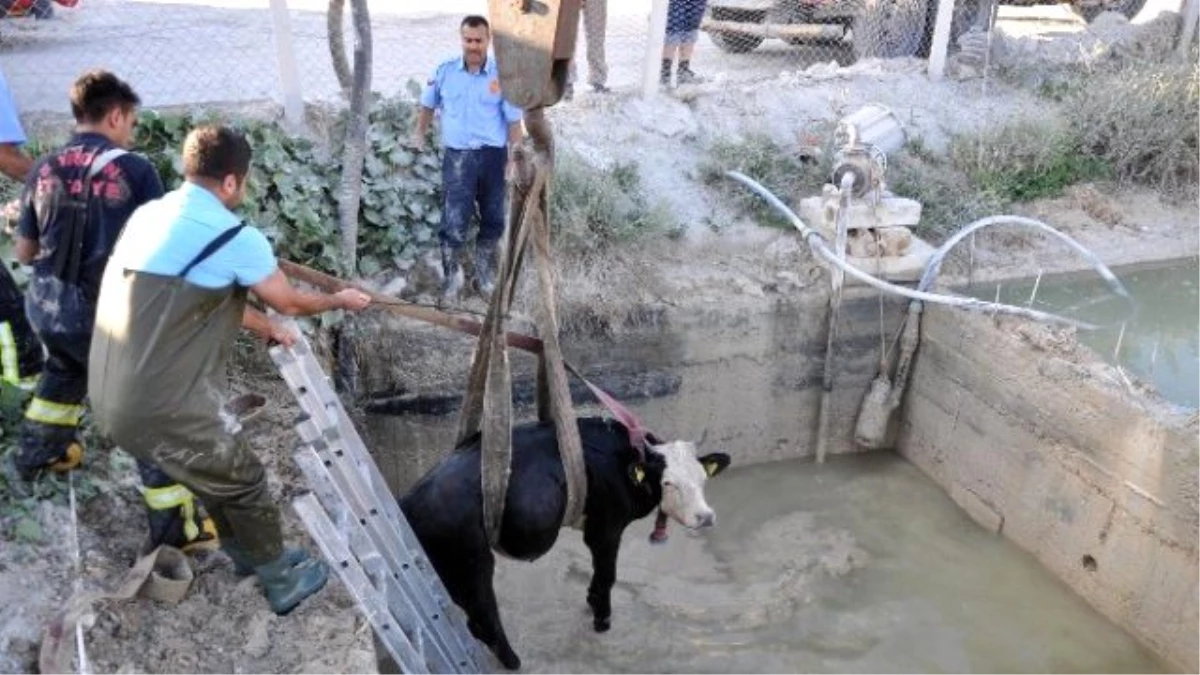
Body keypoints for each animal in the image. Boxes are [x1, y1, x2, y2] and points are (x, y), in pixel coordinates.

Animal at [398, 415, 729, 667]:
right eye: (668, 482)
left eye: (702, 478)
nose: (706, 517)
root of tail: (410, 499)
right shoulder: (606, 528)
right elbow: (606, 576)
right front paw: (601, 621)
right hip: (472, 563)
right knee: (485, 617)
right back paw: (514, 662)